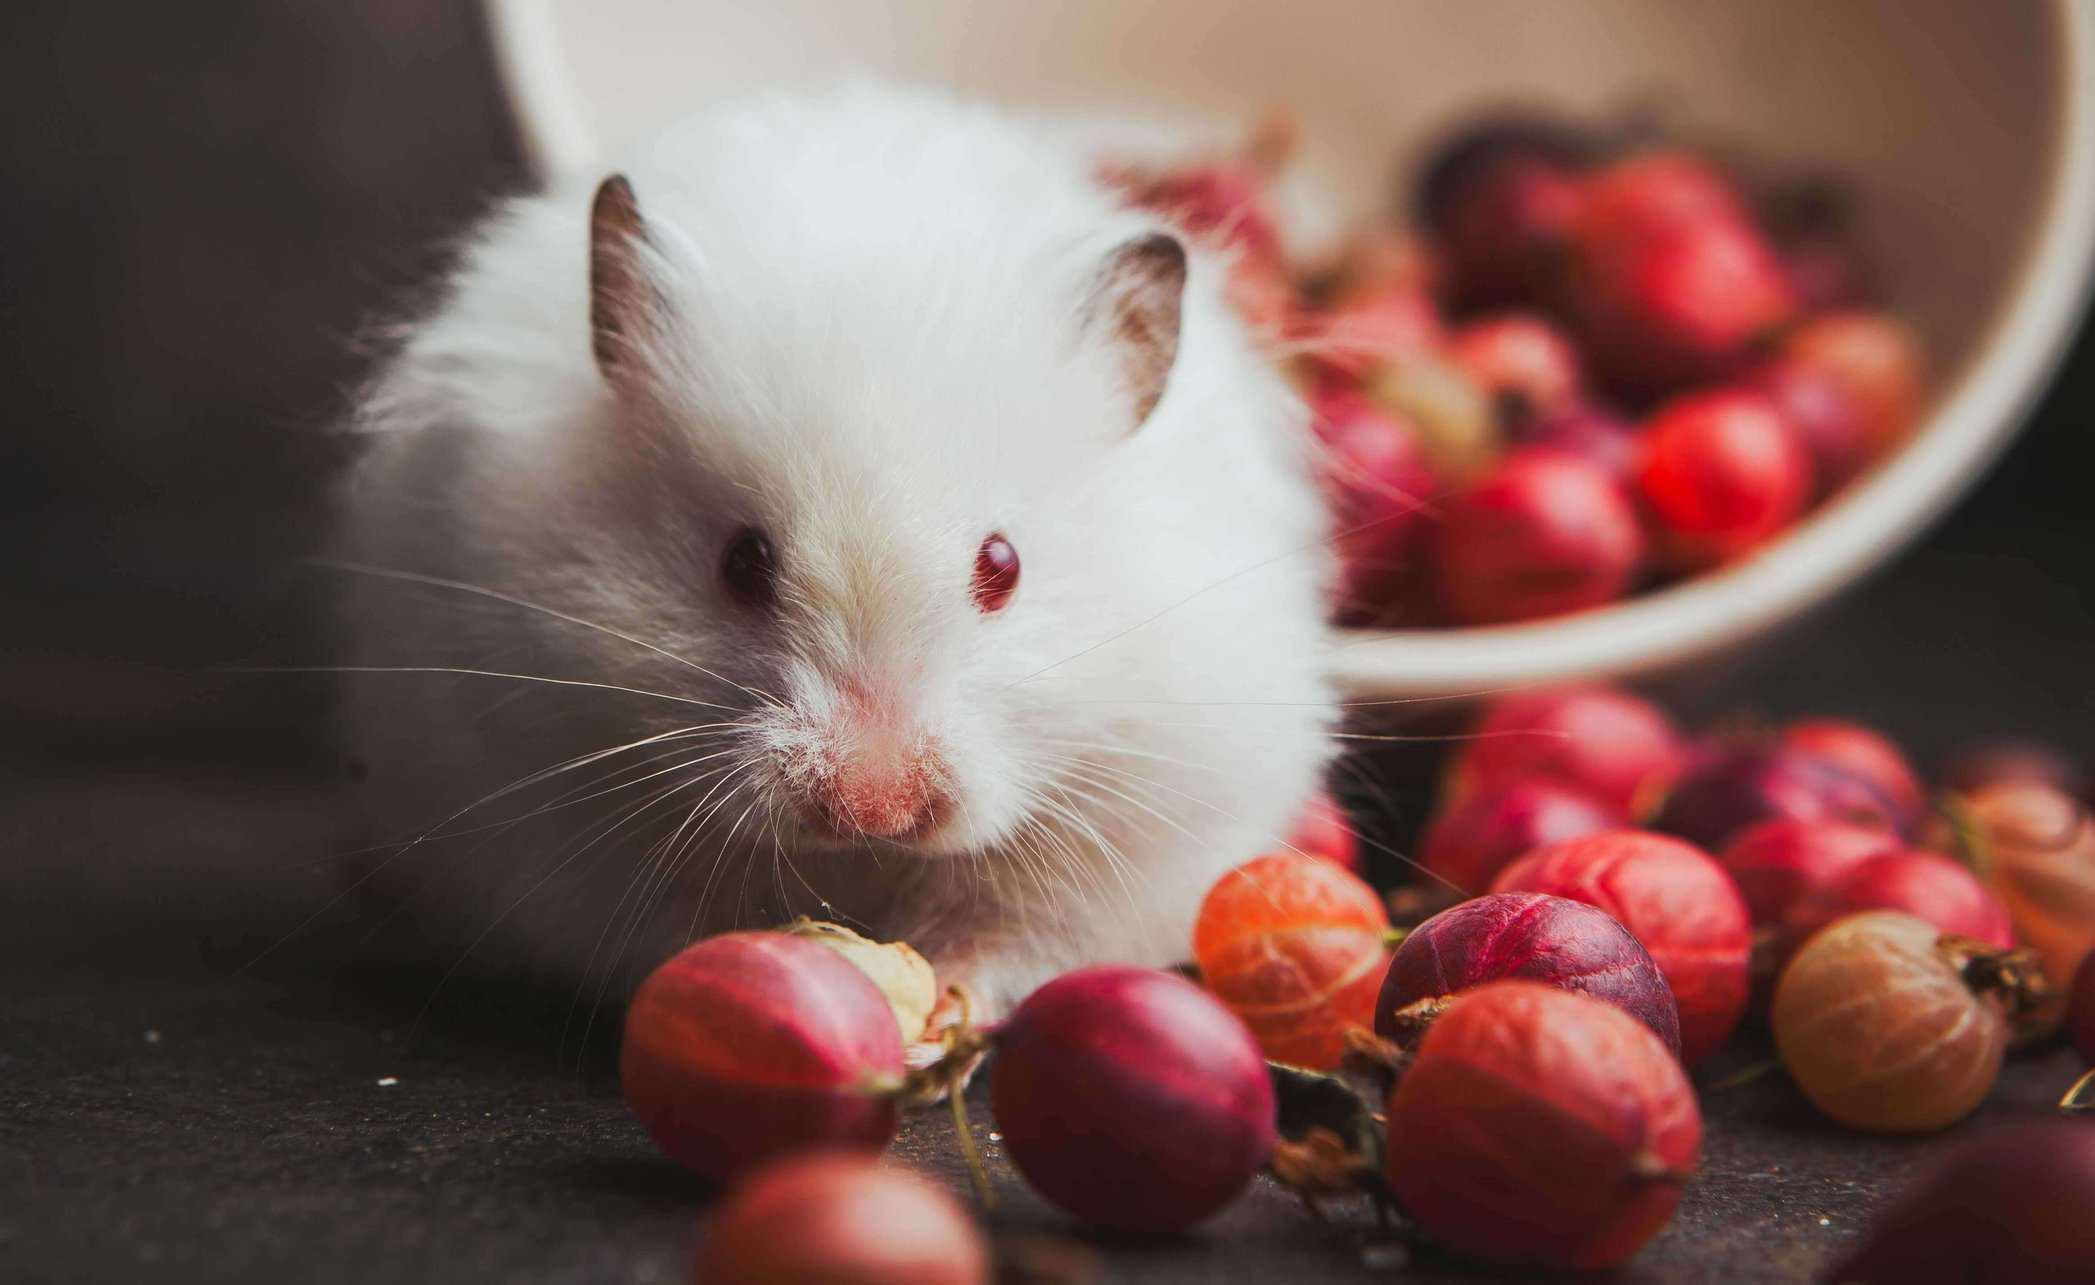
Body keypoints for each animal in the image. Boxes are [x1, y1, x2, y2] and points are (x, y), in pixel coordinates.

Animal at [333, 84, 1336, 1021]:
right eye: (742, 563)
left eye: (1003, 565)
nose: (873, 809)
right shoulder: (544, 785)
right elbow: (680, 920)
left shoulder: (1139, 820)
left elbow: (1010, 932)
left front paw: (944, 1003)